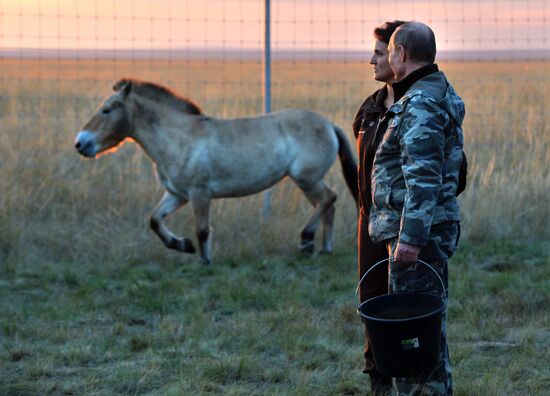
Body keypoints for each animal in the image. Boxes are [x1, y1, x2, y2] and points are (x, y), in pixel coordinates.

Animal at [75, 78, 360, 262]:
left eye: (106, 110)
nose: (80, 143)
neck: (180, 138)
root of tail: (329, 124)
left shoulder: (199, 193)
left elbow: (202, 229)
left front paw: (204, 260)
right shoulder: (177, 194)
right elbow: (155, 220)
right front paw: (183, 245)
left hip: (306, 178)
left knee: (329, 199)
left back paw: (306, 240)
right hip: (307, 182)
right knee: (327, 206)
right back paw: (322, 249)